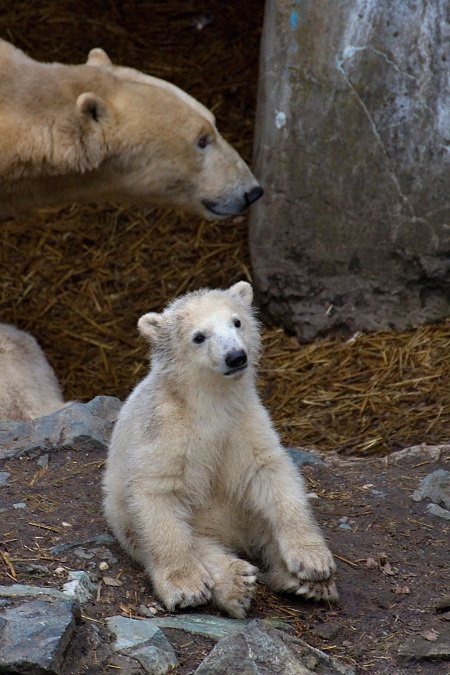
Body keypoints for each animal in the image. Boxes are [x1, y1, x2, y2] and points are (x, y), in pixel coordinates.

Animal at [104, 282, 338, 620]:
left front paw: (313, 562)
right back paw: (235, 582)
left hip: (244, 511)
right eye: (199, 336)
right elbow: (158, 492)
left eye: (236, 321)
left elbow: (270, 472)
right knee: (195, 542)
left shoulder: (243, 418)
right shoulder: (163, 426)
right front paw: (185, 586)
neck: (209, 400)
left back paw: (304, 584)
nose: (236, 357)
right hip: (127, 518)